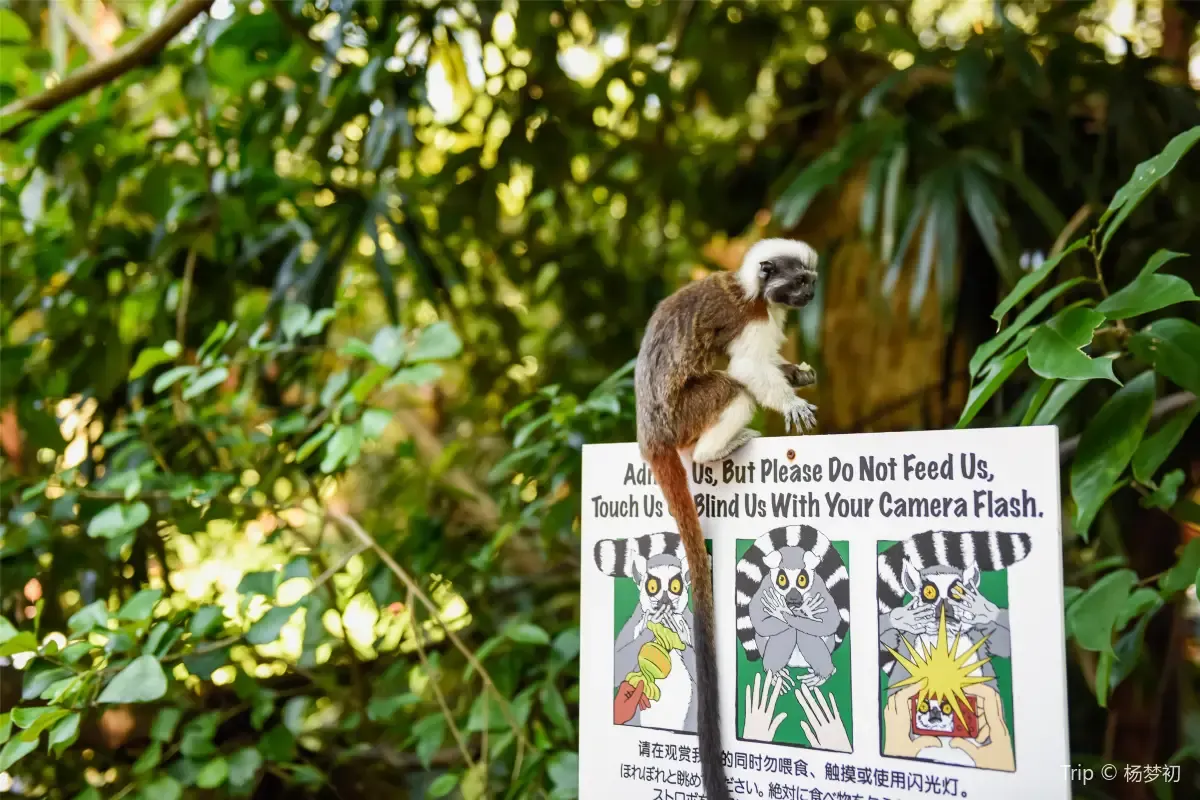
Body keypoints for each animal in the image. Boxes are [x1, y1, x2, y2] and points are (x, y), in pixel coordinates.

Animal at [633, 239, 820, 800]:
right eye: (798, 282)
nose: (811, 295)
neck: (755, 291)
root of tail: (651, 433)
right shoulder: (751, 318)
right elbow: (750, 370)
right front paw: (790, 398)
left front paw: (797, 373)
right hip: (685, 414)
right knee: (732, 388)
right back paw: (712, 451)